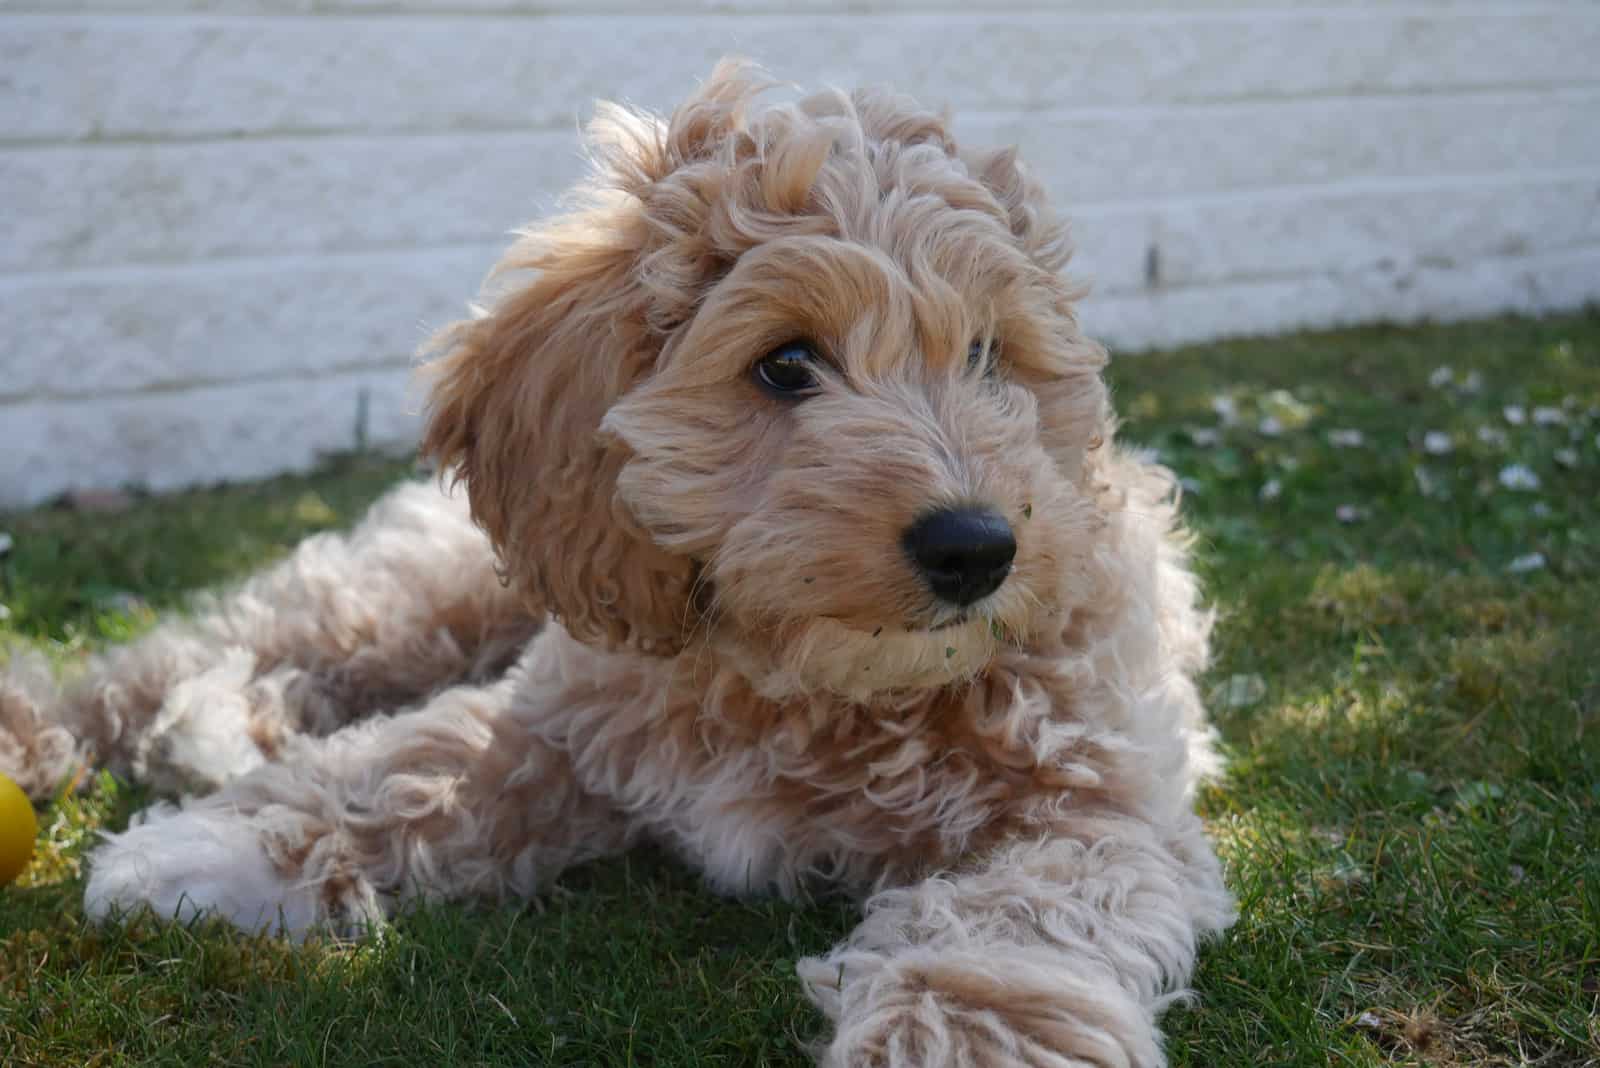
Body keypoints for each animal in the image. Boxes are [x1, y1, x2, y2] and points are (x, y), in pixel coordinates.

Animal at [0, 62, 1235, 1061]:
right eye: (785, 364)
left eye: (987, 355)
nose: (976, 547)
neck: (806, 684)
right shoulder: (561, 712)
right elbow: (409, 762)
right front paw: (212, 845)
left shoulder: (1093, 813)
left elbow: (1009, 928)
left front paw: (962, 1041)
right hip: (420, 594)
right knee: (187, 652)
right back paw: (41, 734)